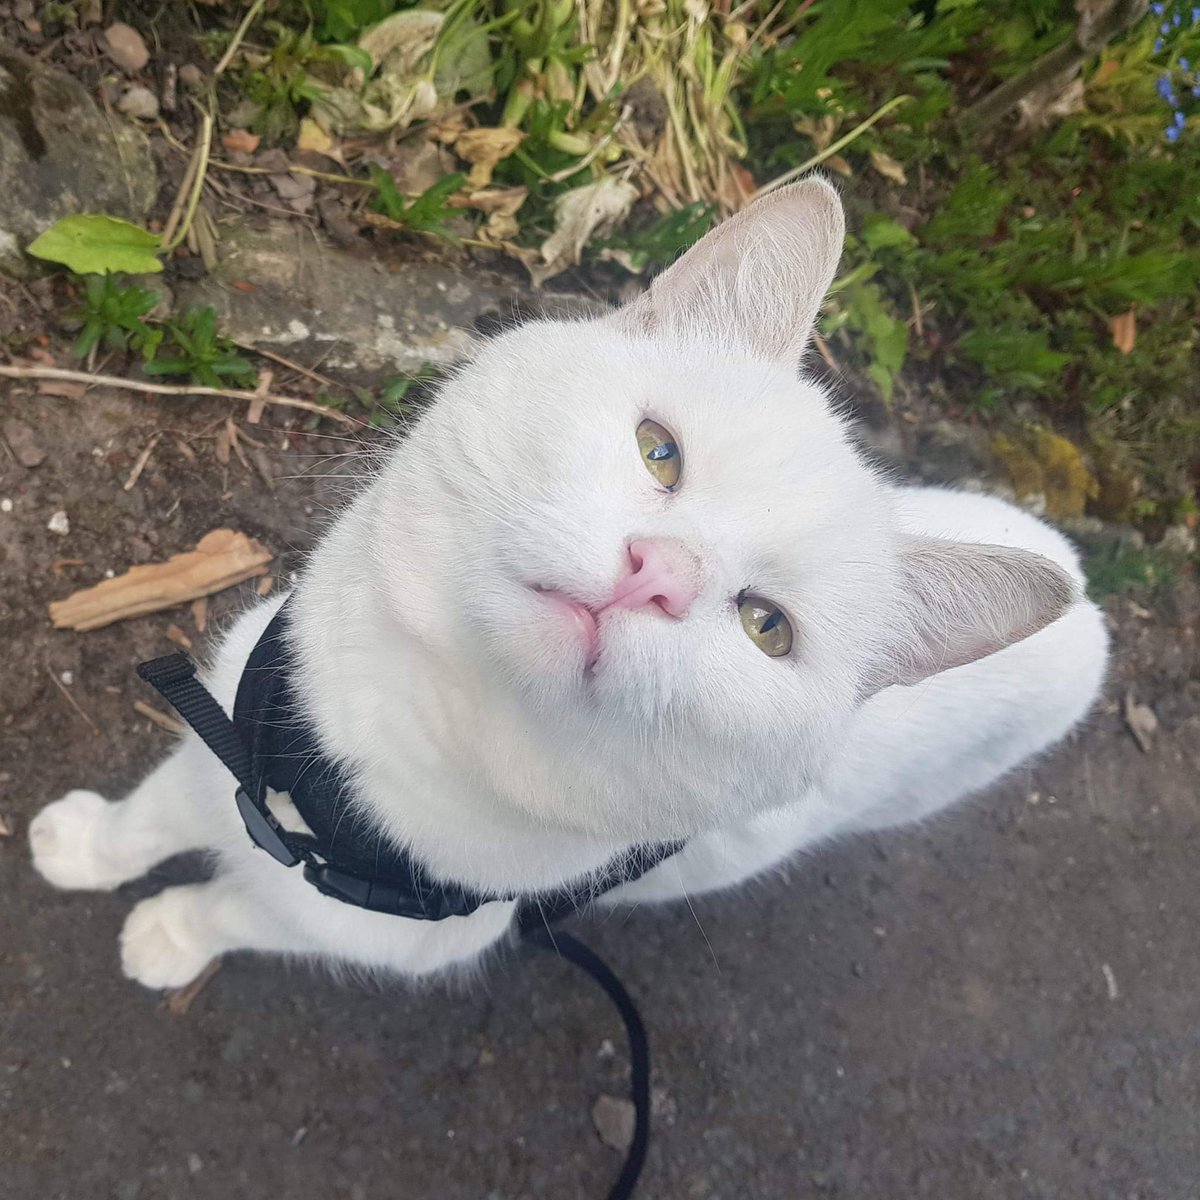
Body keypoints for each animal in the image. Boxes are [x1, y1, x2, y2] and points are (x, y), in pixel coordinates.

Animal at [28, 175, 1108, 984]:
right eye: (658, 451)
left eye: (767, 627)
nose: (656, 575)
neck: (391, 738)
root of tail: (1090, 601)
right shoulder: (224, 736)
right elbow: (151, 813)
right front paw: (82, 848)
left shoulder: (362, 928)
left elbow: (233, 912)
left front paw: (168, 937)